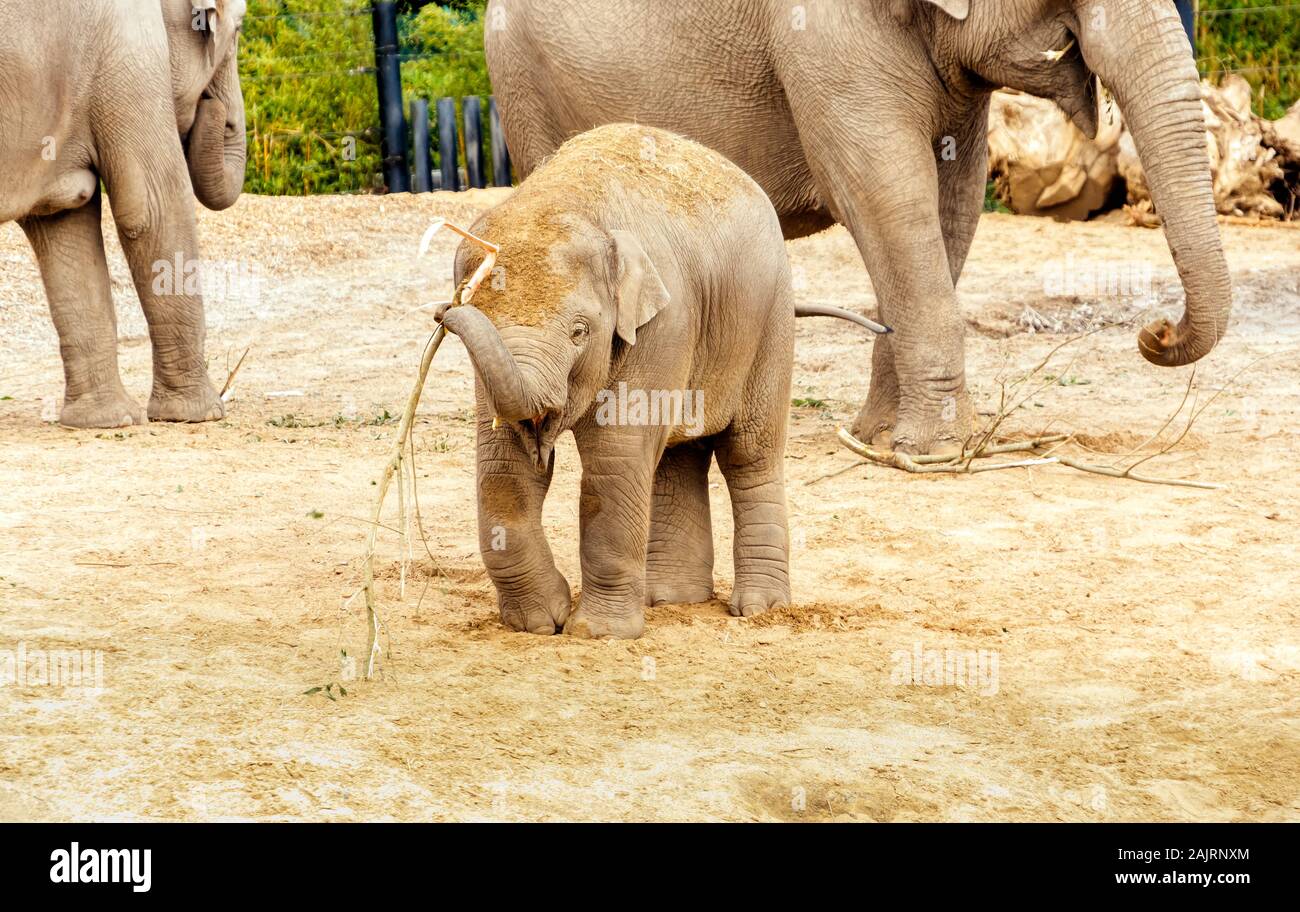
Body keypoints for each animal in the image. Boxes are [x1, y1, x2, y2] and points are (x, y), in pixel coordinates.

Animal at [0, 0, 245, 431]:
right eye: (239, 29)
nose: (214, 106)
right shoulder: (128, 50)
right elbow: (154, 208)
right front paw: (200, 414)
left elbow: (64, 215)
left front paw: (106, 421)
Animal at [439, 124, 873, 644]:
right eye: (475, 311)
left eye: (580, 331)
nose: (443, 313)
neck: (563, 199)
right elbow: (503, 467)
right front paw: (540, 623)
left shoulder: (665, 320)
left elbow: (615, 460)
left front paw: (597, 634)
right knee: (678, 452)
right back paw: (671, 599)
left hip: (770, 318)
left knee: (749, 453)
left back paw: (760, 610)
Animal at [486, 0, 1227, 457]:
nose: (1156, 332)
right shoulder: (824, 37)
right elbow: (884, 189)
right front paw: (938, 451)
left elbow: (953, 196)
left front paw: (880, 439)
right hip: (525, 85)